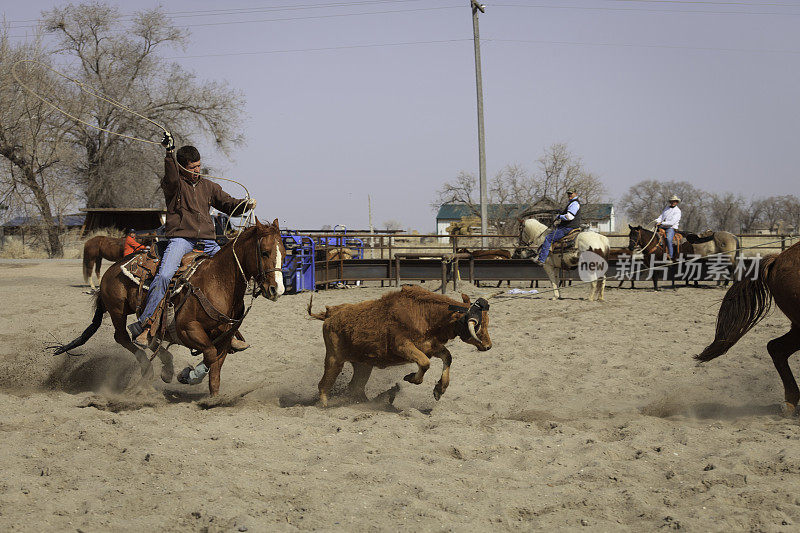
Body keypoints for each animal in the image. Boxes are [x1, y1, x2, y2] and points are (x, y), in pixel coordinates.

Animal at [51, 216, 286, 394]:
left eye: (284, 253)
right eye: (264, 252)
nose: (277, 289)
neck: (217, 283)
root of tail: (113, 269)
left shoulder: (225, 338)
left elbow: (215, 371)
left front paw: (213, 398)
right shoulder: (187, 330)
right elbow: (209, 356)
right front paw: (189, 375)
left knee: (149, 332)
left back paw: (166, 365)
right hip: (117, 310)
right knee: (124, 336)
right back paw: (151, 368)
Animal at [308, 284, 490, 406]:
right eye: (478, 325)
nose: (488, 346)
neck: (425, 315)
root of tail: (331, 314)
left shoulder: (430, 347)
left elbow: (447, 357)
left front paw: (439, 389)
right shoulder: (402, 347)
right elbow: (425, 363)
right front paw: (411, 378)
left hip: (363, 365)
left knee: (355, 387)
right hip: (334, 360)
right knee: (324, 385)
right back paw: (324, 405)